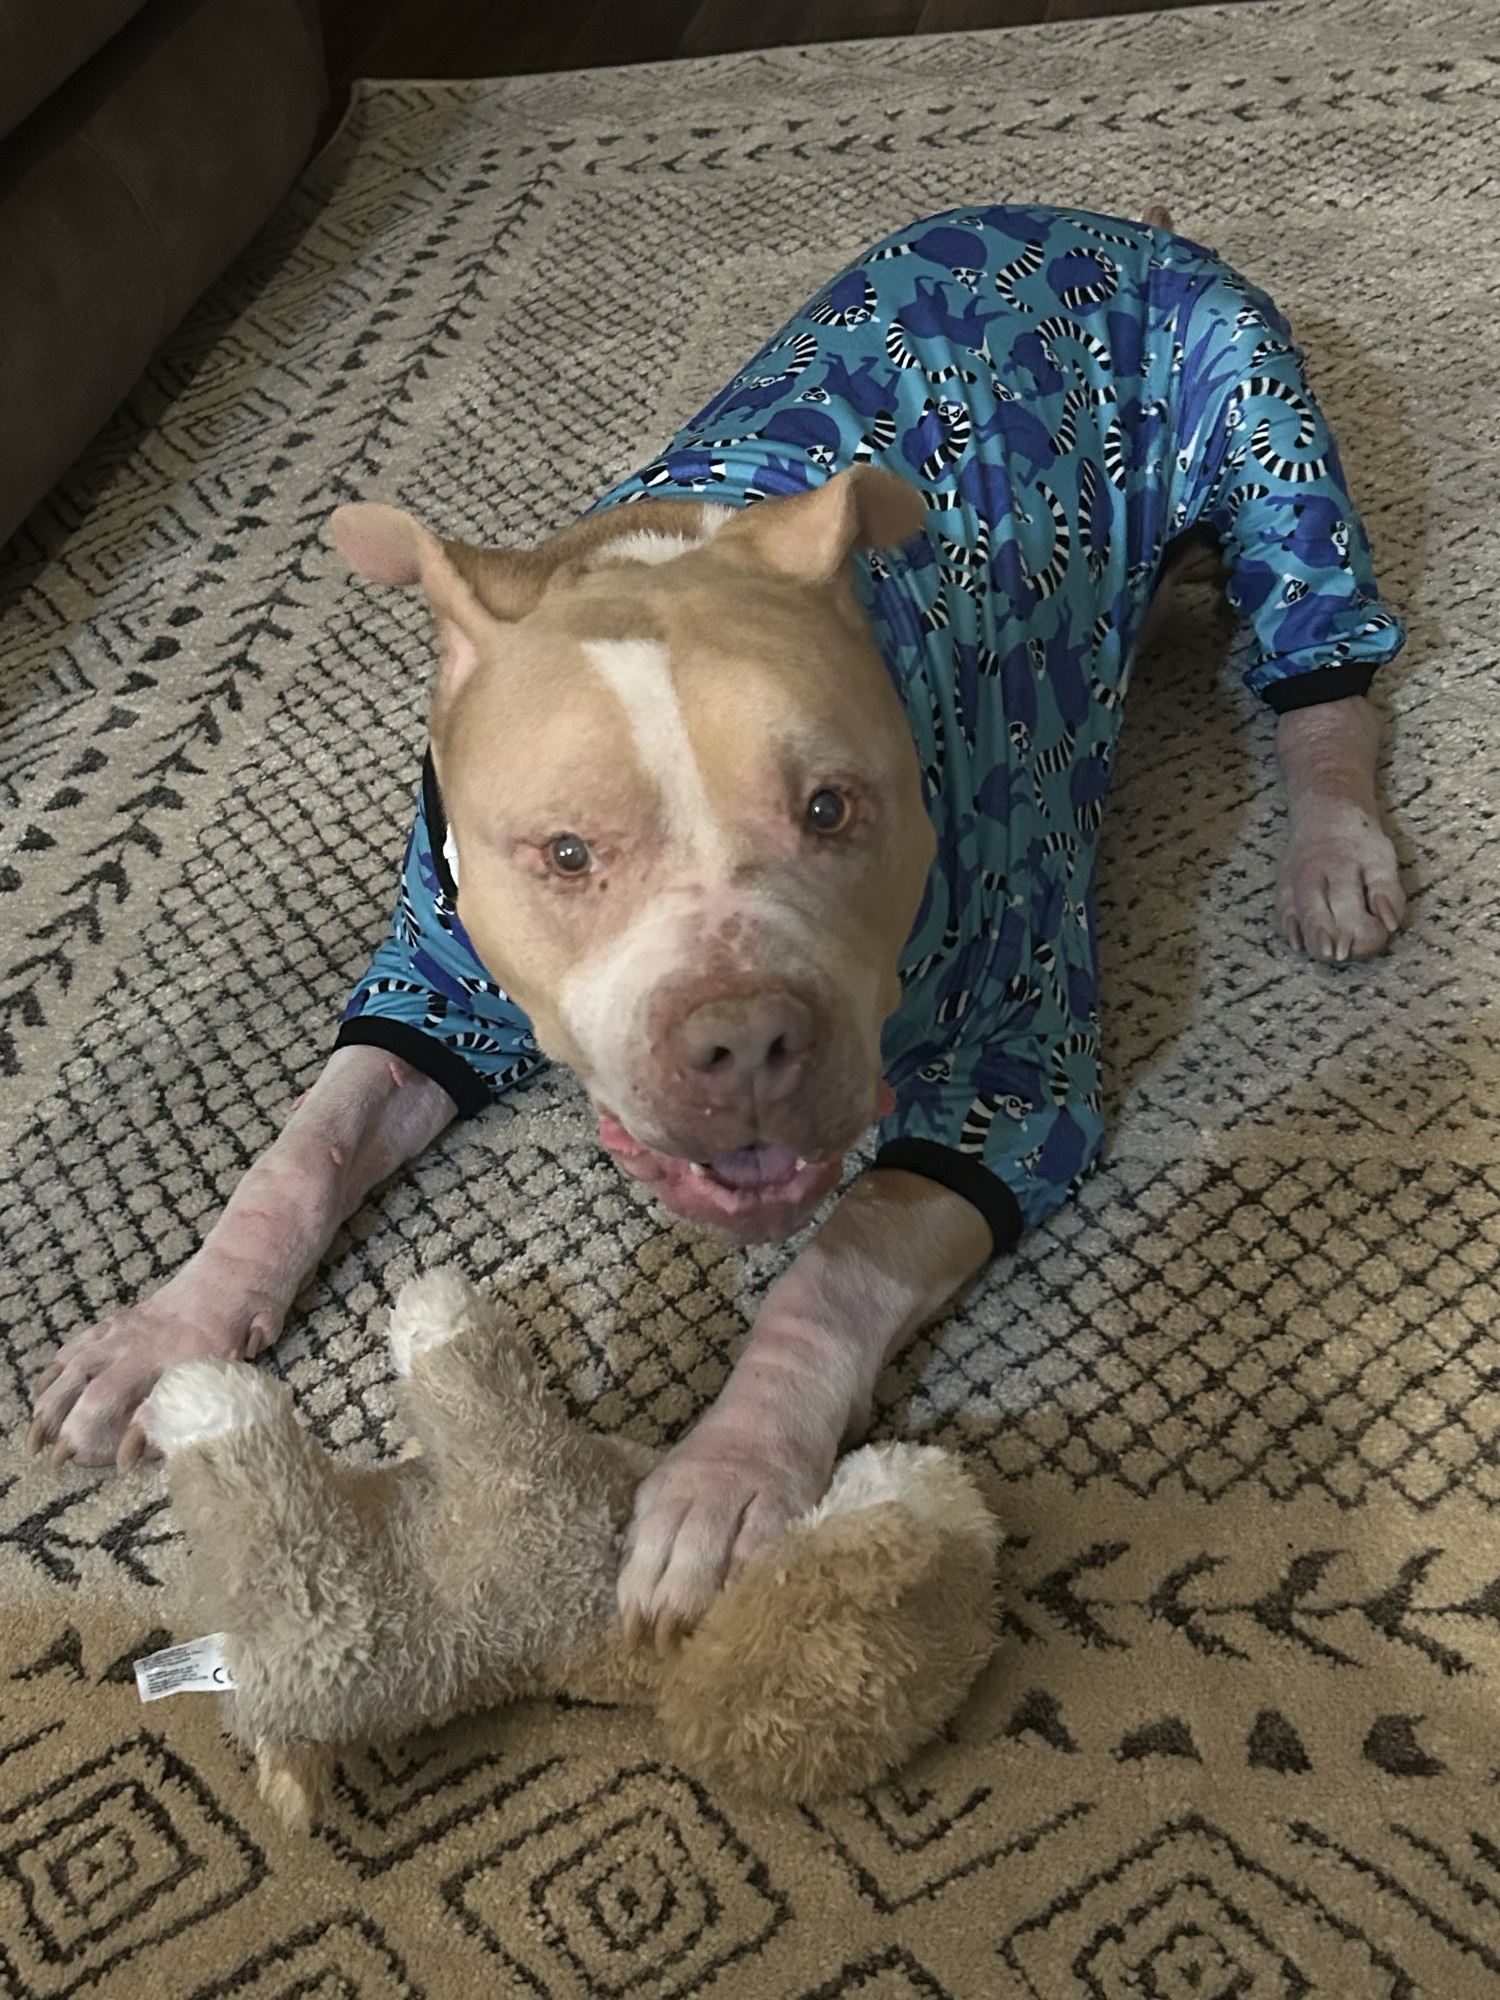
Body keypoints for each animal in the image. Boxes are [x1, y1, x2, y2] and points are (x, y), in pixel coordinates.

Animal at [30, 203, 1406, 1643]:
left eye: (832, 808)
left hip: (1263, 432)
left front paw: (727, 1478)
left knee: (1322, 664)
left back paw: (1333, 852)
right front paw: (168, 1328)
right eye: (566, 854)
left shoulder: (1019, 1081)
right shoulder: (432, 987)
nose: (744, 1039)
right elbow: (306, 1147)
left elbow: (836, 1262)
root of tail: (1099, 219)